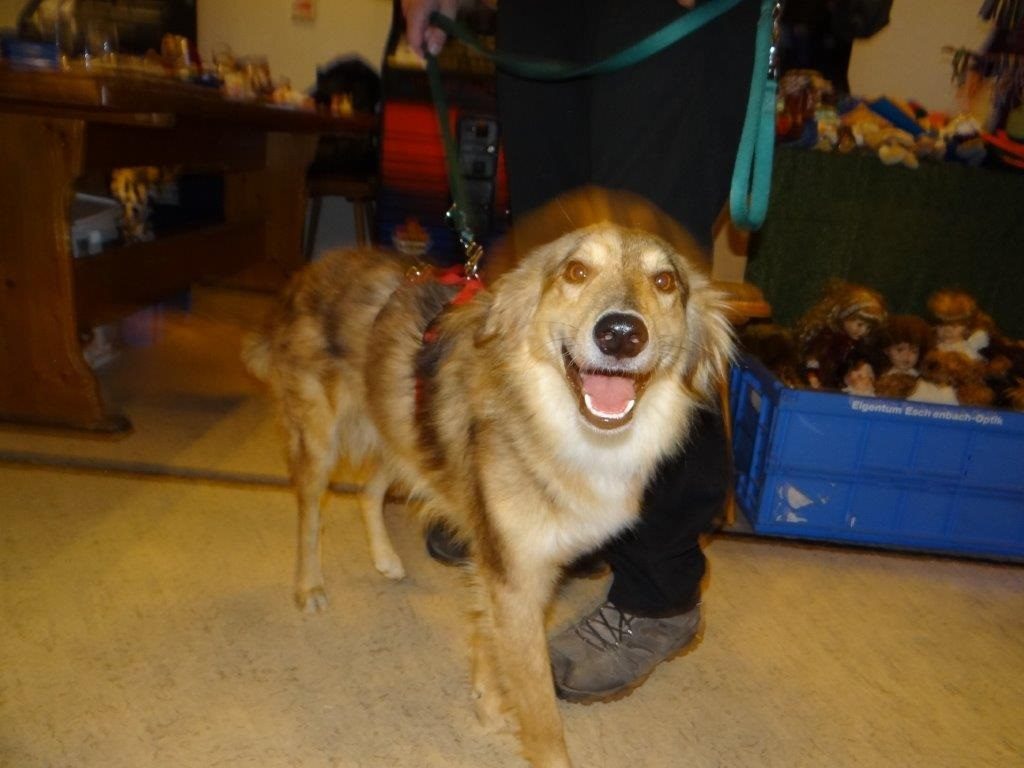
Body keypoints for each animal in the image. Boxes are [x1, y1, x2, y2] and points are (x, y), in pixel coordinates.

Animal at [243, 191, 734, 767]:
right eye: (576, 271)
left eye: (665, 282)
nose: (620, 334)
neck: (566, 430)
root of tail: (315, 268)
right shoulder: (515, 577)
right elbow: (541, 712)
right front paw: (522, 725)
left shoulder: (508, 568)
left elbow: (487, 637)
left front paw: (487, 701)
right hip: (322, 437)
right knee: (310, 510)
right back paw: (310, 585)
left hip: (405, 429)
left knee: (369, 488)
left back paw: (386, 559)